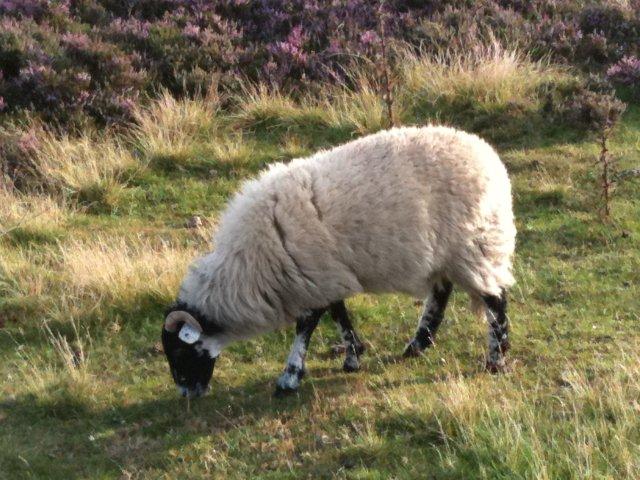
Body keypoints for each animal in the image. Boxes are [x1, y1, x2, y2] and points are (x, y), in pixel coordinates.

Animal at [160, 124, 516, 398]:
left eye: (180, 349)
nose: (187, 394)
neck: (247, 267)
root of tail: (488, 156)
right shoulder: (323, 275)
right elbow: (338, 313)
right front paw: (353, 355)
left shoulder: (314, 276)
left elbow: (306, 325)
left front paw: (290, 377)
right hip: (447, 253)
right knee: (442, 293)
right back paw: (418, 343)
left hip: (475, 244)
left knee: (494, 300)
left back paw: (495, 359)